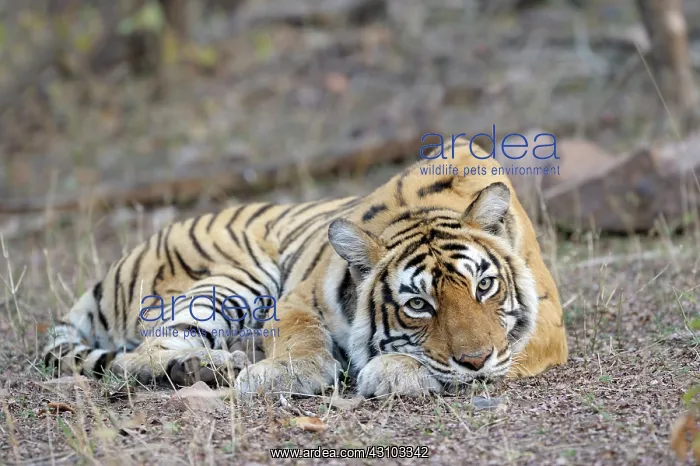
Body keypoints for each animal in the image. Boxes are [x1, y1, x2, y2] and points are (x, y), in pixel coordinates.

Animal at [42, 141, 568, 397]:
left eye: (485, 286)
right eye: (418, 304)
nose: (475, 361)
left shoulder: (547, 325)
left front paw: (392, 372)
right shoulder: (295, 297)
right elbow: (300, 337)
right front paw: (281, 375)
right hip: (234, 277)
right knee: (137, 356)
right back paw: (212, 367)